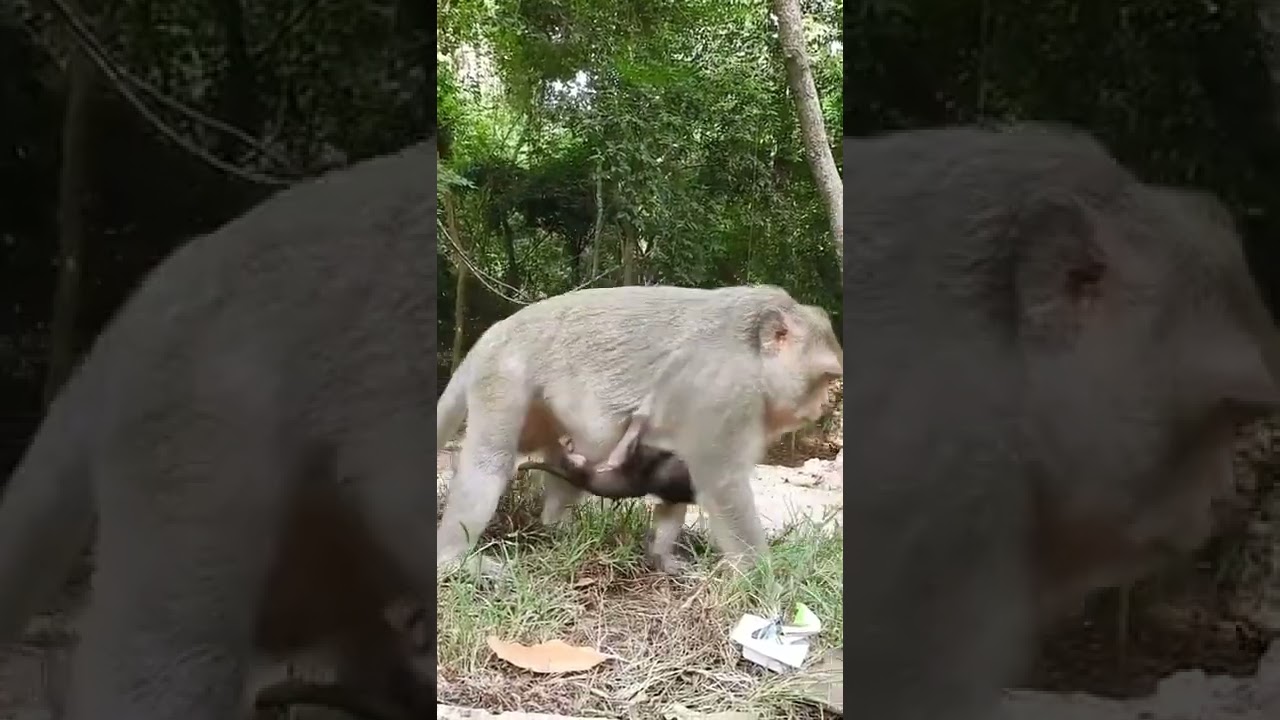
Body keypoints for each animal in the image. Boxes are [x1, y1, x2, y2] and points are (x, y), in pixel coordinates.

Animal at [436, 284, 844, 579]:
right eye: (826, 378)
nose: (826, 403)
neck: (754, 358)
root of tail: (492, 334)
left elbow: (678, 484)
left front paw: (663, 555)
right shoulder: (724, 393)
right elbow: (721, 481)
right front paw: (765, 575)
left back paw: (558, 527)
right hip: (502, 376)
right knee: (489, 463)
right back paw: (452, 558)